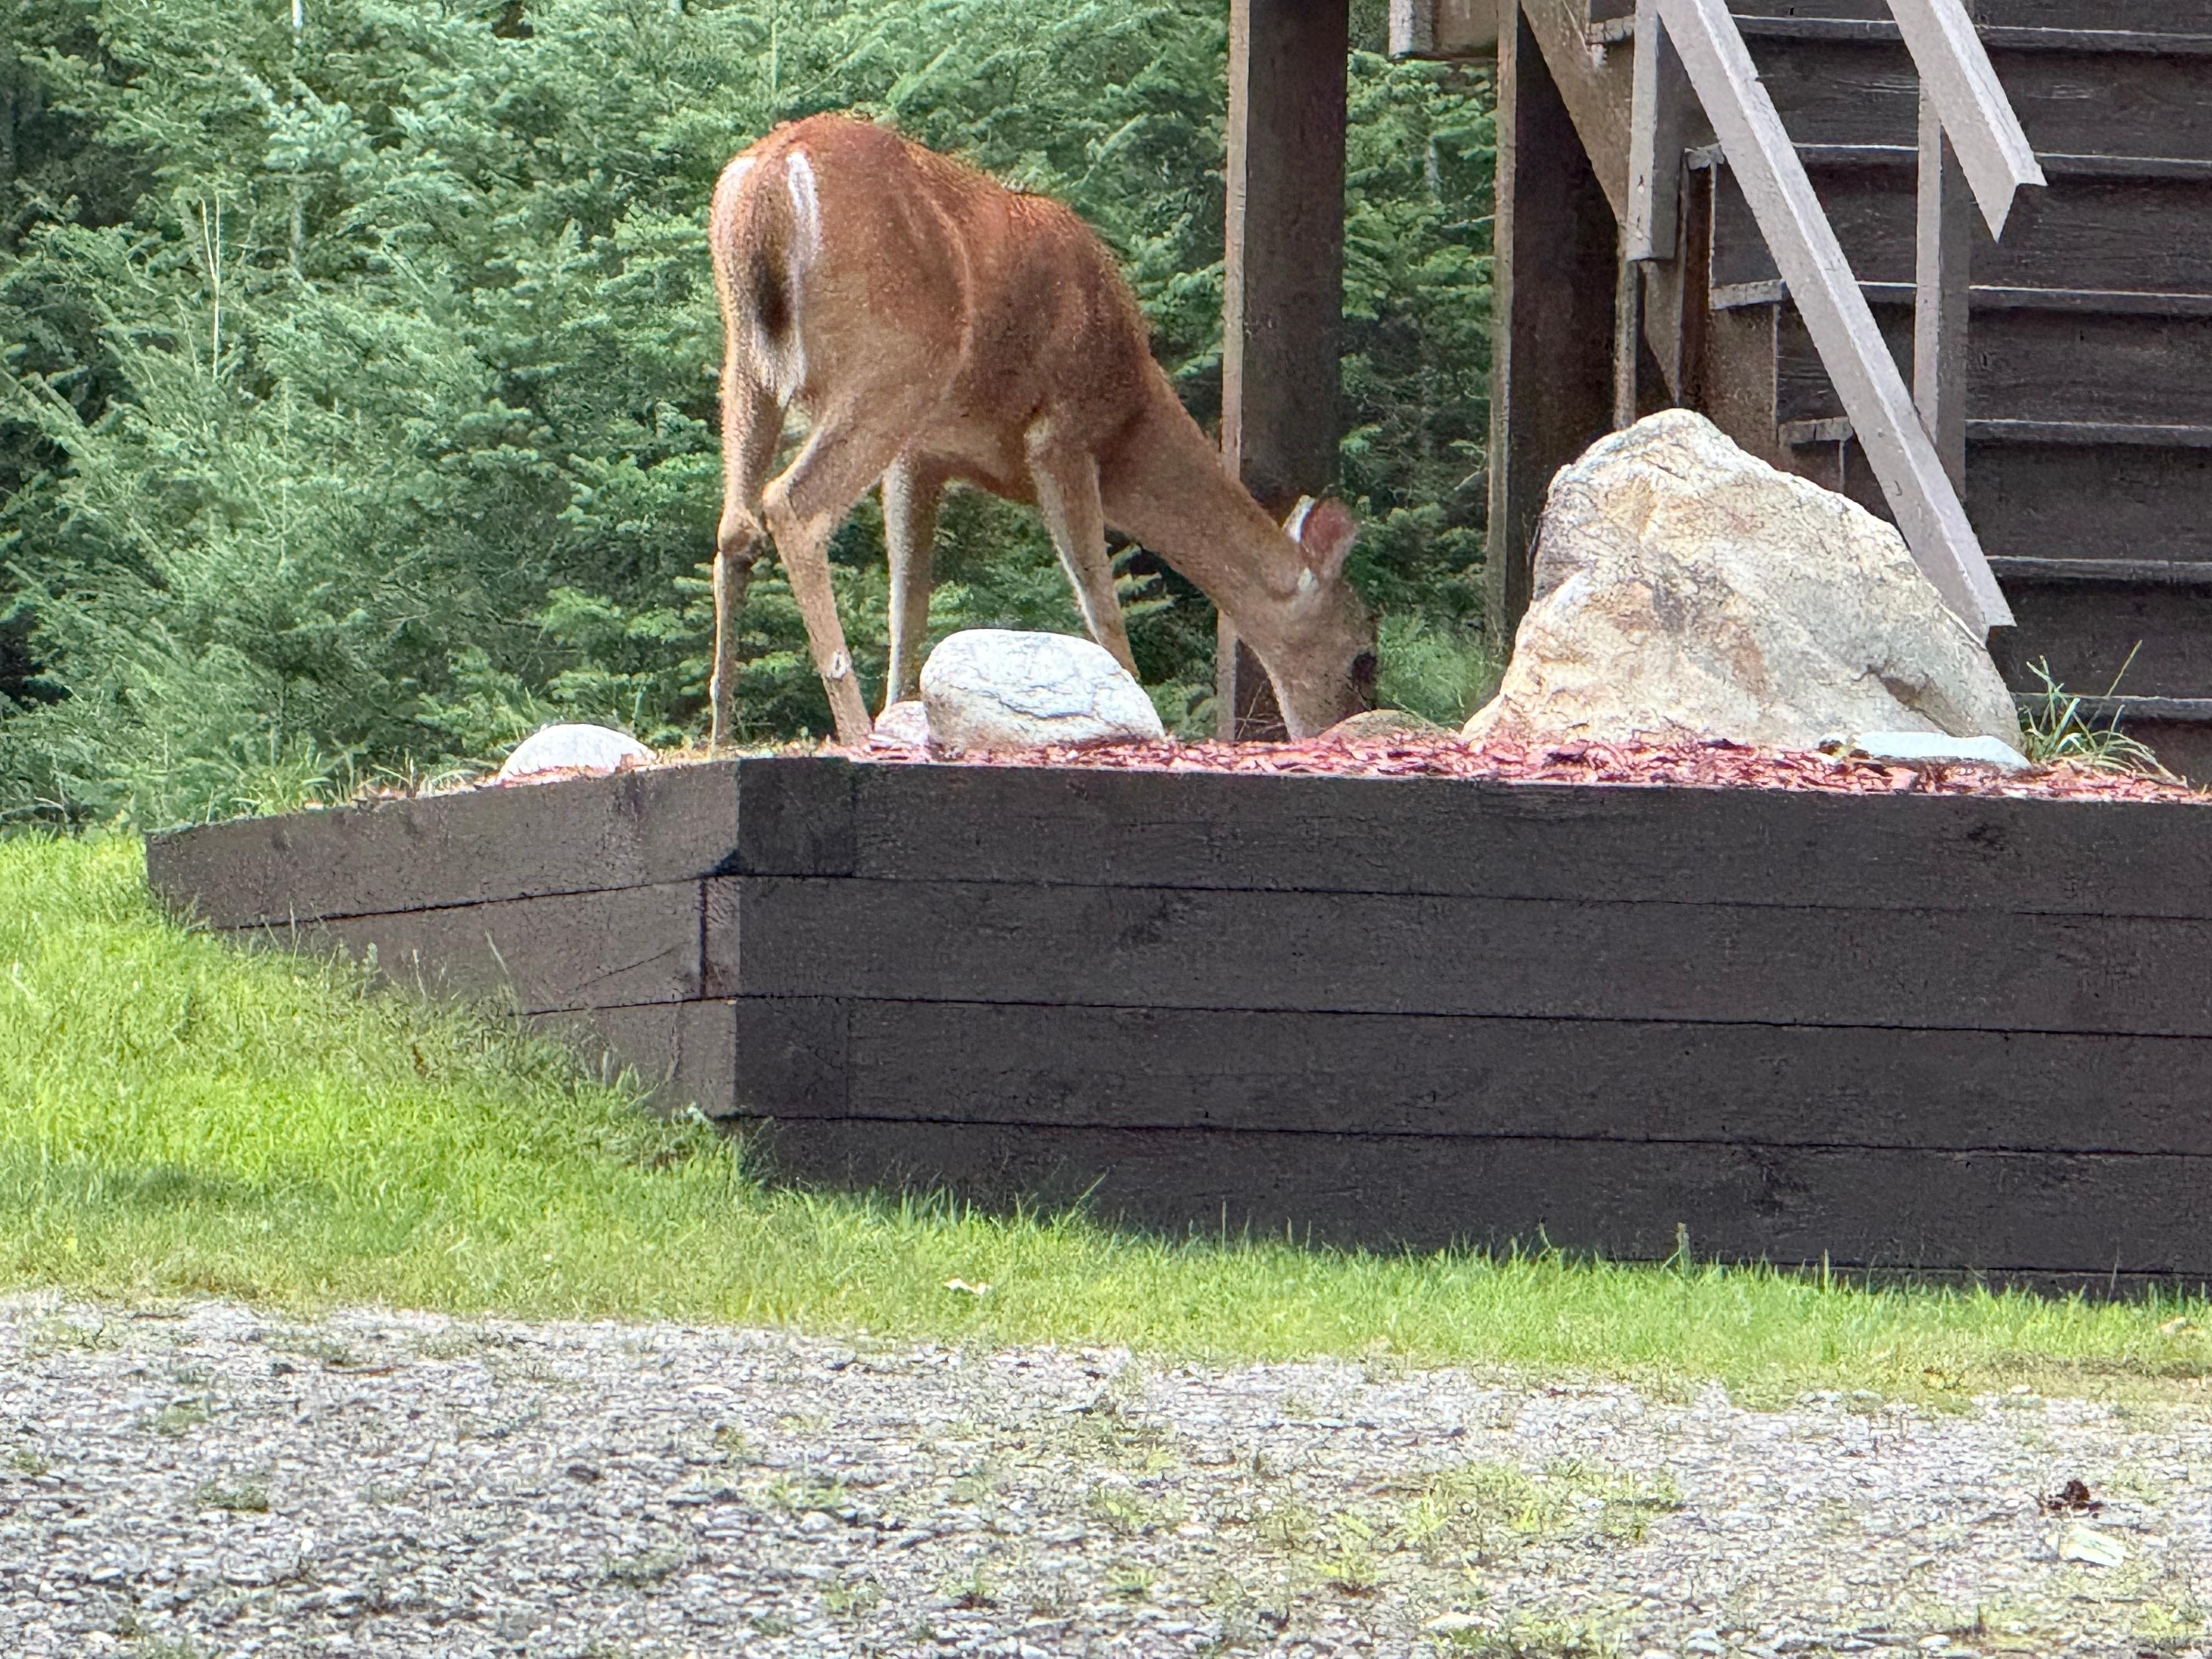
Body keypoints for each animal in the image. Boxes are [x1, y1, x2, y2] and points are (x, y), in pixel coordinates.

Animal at [705, 114, 1377, 749]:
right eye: (1363, 655)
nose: (1340, 725)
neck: (1131, 416)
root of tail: (771, 175)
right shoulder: (1063, 431)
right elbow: (1100, 603)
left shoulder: (921, 454)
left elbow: (908, 605)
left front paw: (905, 710)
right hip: (895, 361)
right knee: (792, 506)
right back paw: (850, 727)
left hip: (749, 361)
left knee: (738, 525)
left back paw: (722, 732)